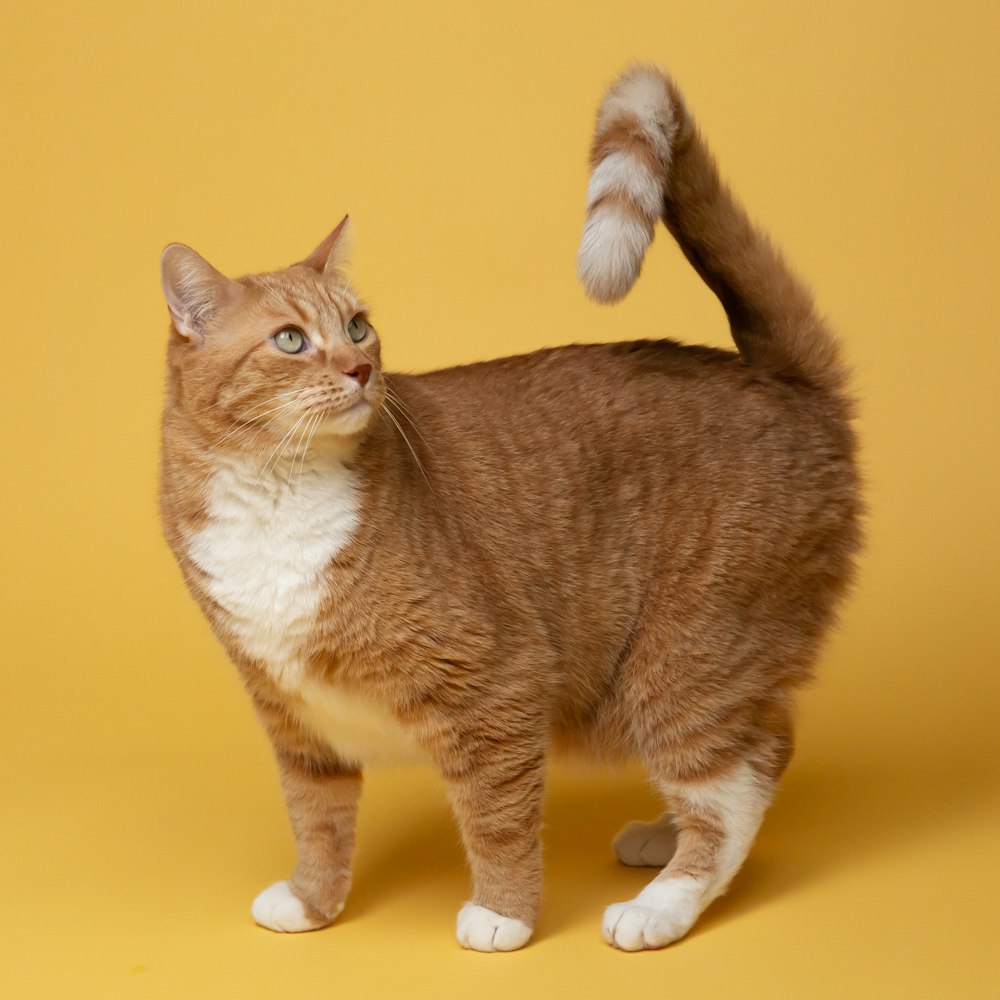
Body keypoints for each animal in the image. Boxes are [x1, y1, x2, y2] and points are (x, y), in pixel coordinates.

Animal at [160, 62, 864, 952]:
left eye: (358, 326)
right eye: (290, 340)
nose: (360, 369)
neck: (277, 493)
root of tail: (783, 380)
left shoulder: (495, 684)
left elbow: (496, 818)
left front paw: (502, 915)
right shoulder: (293, 718)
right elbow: (316, 819)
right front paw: (313, 904)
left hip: (684, 655)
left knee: (734, 784)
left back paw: (664, 901)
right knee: (763, 748)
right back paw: (663, 837)